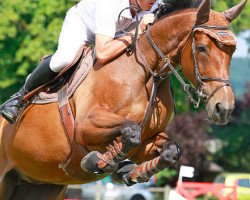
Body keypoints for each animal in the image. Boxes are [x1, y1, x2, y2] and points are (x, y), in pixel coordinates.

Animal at [0, 0, 246, 199]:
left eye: (232, 52)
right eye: (202, 48)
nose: (223, 108)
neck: (145, 72)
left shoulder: (148, 140)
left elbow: (170, 150)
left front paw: (133, 172)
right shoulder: (85, 126)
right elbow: (130, 130)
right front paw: (102, 161)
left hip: (42, 185)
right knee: (60, 60)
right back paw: (11, 106)